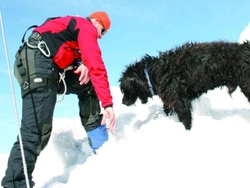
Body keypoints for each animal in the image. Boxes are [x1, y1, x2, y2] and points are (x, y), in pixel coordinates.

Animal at [118, 40, 250, 130]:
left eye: (126, 89)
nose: (123, 102)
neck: (153, 74)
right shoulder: (169, 101)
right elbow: (167, 110)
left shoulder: (180, 101)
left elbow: (186, 120)